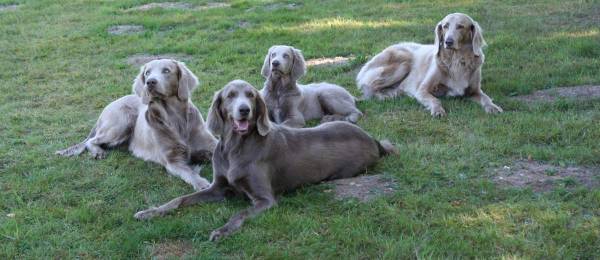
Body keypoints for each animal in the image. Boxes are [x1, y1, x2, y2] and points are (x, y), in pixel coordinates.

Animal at [56, 59, 218, 190]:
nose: (150, 82)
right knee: (91, 140)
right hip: (122, 122)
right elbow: (190, 173)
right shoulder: (173, 160)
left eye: (166, 70)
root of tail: (107, 108)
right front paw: (202, 183)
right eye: (147, 73)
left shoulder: (212, 144)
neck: (176, 119)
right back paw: (98, 152)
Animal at [356, 12, 502, 117]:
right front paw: (438, 110)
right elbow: (435, 99)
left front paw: (493, 107)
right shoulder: (422, 90)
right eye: (445, 26)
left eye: (460, 26)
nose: (448, 42)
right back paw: (387, 95)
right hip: (403, 61)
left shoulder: (474, 91)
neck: (456, 59)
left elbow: (486, 98)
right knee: (369, 88)